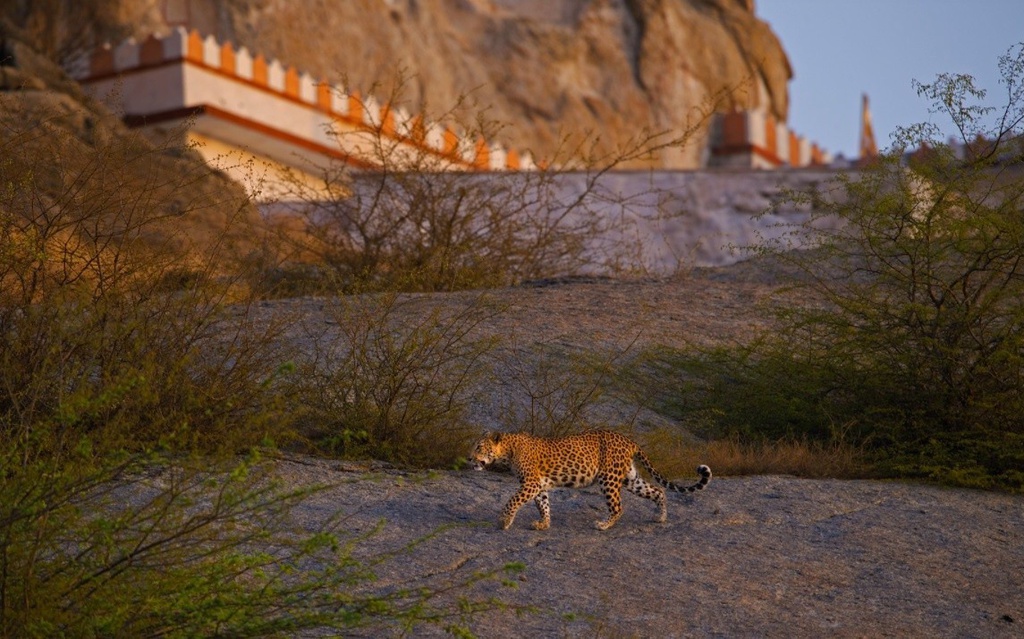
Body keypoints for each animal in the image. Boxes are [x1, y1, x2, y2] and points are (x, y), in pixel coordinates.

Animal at [471, 432, 712, 532]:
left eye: (479, 448)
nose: (470, 459)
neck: (508, 450)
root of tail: (629, 440)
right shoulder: (538, 485)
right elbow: (543, 505)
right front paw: (544, 524)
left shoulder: (530, 483)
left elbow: (512, 501)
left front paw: (503, 521)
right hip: (629, 478)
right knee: (658, 490)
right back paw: (660, 517)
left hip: (609, 478)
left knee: (618, 507)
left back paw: (604, 525)